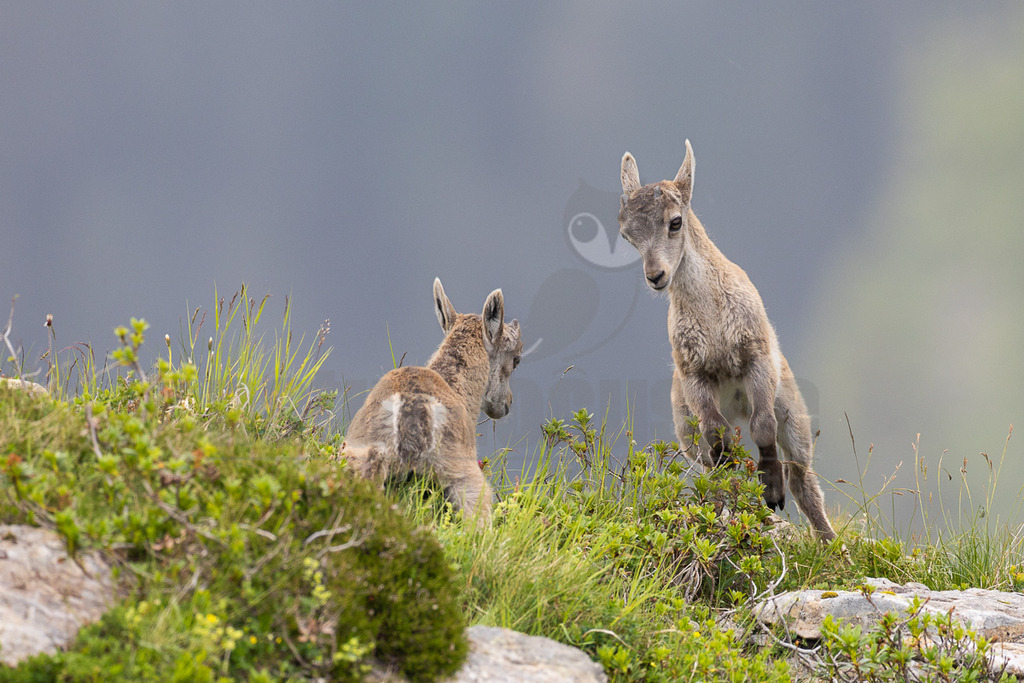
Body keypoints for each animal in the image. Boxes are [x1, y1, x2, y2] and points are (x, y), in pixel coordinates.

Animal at [618, 140, 836, 542]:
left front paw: (771, 490)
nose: (655, 276)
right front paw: (734, 472)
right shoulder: (695, 375)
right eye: (628, 235)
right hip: (688, 434)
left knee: (803, 478)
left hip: (793, 416)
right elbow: (717, 434)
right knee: (711, 465)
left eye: (675, 221)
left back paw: (828, 540)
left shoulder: (755, 357)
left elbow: (762, 427)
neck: (712, 315)